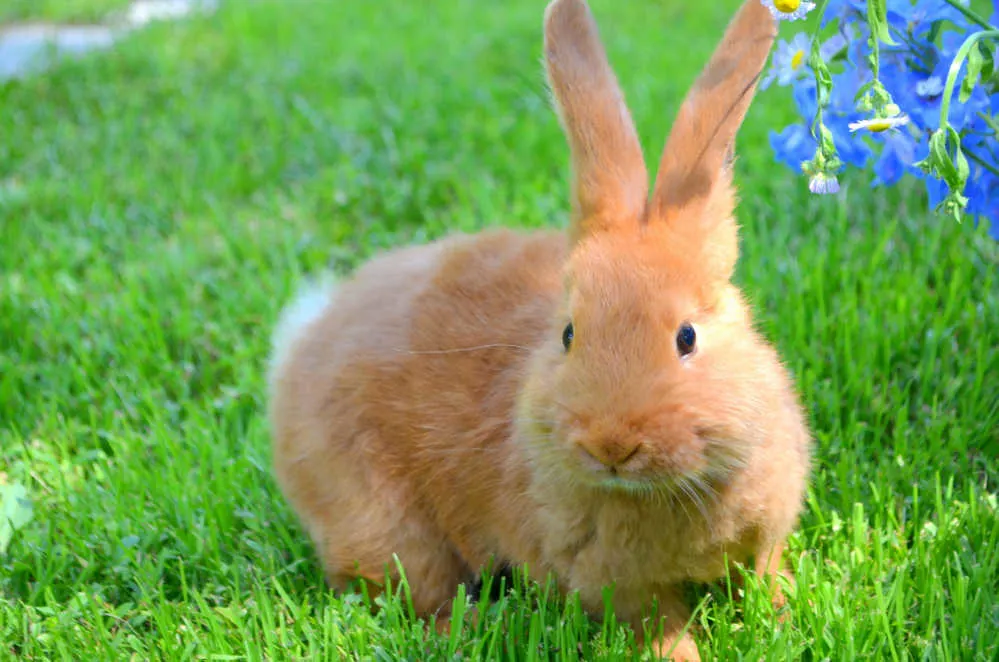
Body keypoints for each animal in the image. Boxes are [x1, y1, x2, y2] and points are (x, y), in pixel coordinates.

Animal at [268, 0, 812, 660]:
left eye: (687, 337)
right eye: (569, 335)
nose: (611, 445)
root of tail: (302, 343)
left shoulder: (764, 543)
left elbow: (766, 577)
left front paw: (788, 618)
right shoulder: (616, 587)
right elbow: (656, 626)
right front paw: (684, 654)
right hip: (386, 526)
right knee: (410, 596)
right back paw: (479, 627)